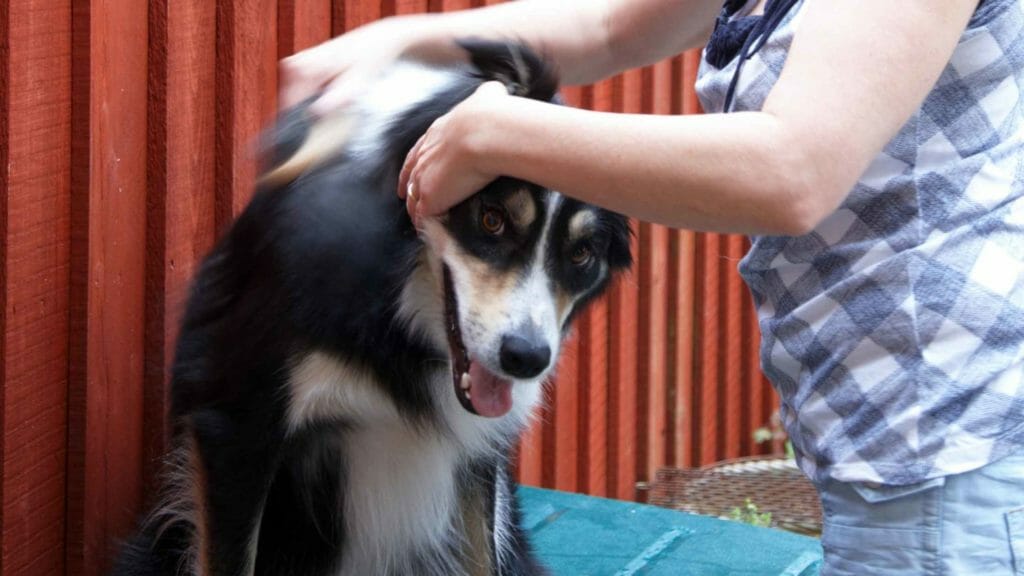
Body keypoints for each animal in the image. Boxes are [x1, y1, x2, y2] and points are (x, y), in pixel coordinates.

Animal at [114, 40, 630, 573]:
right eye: (492, 220)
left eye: (582, 254)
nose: (525, 358)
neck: (394, 312)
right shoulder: (235, 422)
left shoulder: (477, 457)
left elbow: (481, 558)